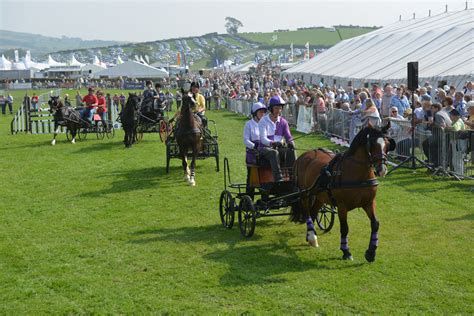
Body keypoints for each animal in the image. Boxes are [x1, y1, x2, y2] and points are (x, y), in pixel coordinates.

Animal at [292, 122, 396, 262]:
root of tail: (304, 155)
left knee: (313, 212)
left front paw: (371, 252)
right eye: (373, 144)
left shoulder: (369, 203)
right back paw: (312, 236)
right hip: (305, 193)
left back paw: (310, 236)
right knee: (307, 212)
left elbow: (375, 224)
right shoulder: (342, 206)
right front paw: (346, 251)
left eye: (388, 144)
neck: (358, 175)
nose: (382, 170)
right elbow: (344, 228)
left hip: (319, 196)